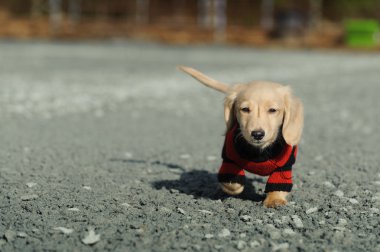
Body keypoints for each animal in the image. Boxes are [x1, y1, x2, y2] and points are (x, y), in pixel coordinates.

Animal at [180, 66, 304, 208]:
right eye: (245, 109)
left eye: (272, 110)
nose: (257, 134)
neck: (259, 152)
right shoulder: (229, 158)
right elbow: (231, 180)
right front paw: (234, 188)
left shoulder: (284, 166)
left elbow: (278, 184)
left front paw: (275, 200)